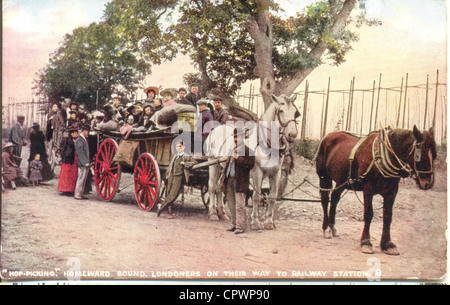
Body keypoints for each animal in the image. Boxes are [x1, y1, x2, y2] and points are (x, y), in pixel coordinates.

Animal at [204, 94, 298, 227]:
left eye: (295, 113)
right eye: (281, 111)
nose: (293, 134)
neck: (266, 143)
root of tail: (216, 129)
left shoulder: (276, 173)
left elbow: (272, 196)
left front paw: (269, 221)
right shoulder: (258, 172)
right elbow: (256, 196)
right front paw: (255, 221)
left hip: (224, 167)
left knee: (219, 188)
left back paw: (222, 213)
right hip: (213, 164)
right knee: (212, 187)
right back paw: (213, 213)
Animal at [316, 125, 436, 254]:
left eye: (434, 155)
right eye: (421, 155)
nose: (428, 184)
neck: (382, 157)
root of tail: (327, 136)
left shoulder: (392, 192)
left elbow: (388, 216)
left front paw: (388, 244)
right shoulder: (368, 190)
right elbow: (368, 214)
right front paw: (366, 242)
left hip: (342, 181)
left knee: (334, 198)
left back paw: (332, 226)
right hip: (324, 177)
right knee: (325, 199)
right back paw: (326, 228)